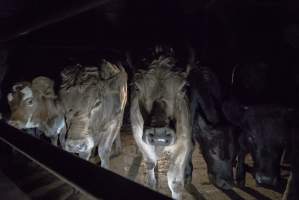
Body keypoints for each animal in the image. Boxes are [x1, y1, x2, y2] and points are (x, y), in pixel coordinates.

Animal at [130, 46, 193, 199]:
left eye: (183, 88)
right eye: (137, 88)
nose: (159, 133)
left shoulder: (184, 145)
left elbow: (175, 183)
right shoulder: (141, 141)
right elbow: (150, 164)